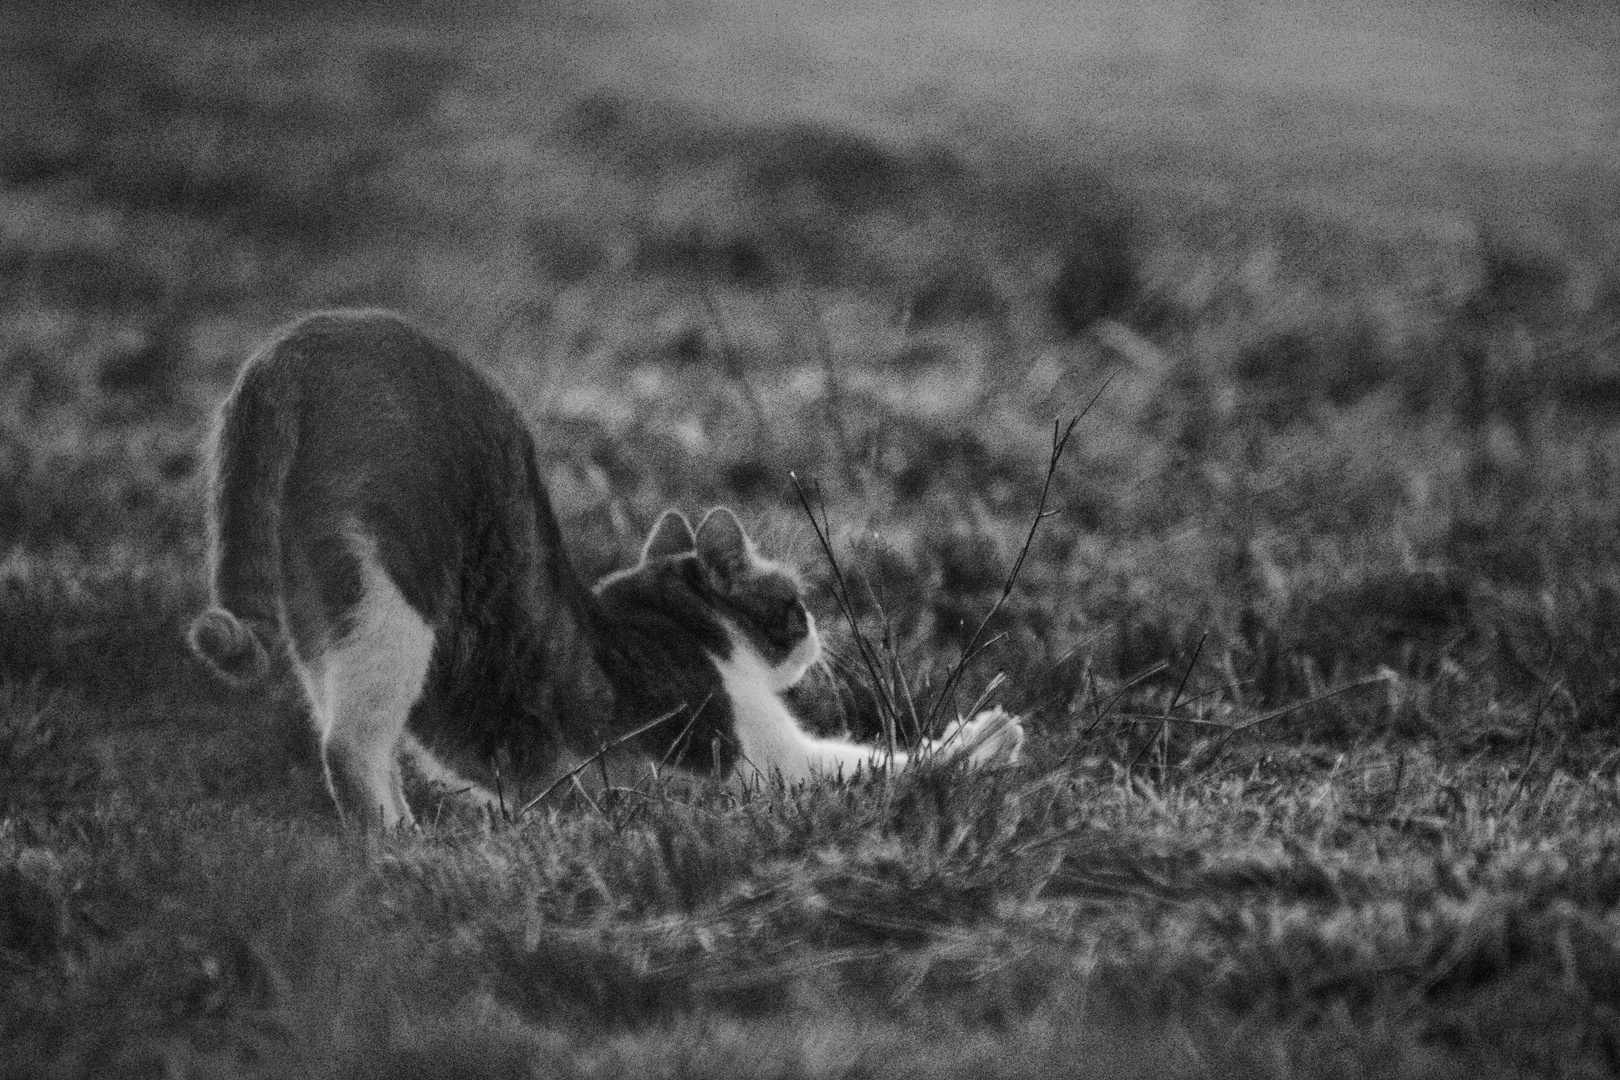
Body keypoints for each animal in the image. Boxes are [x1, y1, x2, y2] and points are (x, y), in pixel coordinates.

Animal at [189, 307, 1023, 835]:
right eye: (794, 602)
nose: (820, 635)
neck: (682, 628)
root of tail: (308, 336)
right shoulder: (753, 760)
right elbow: (871, 765)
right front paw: (980, 743)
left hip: (328, 616)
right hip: (397, 607)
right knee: (348, 746)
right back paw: (404, 850)